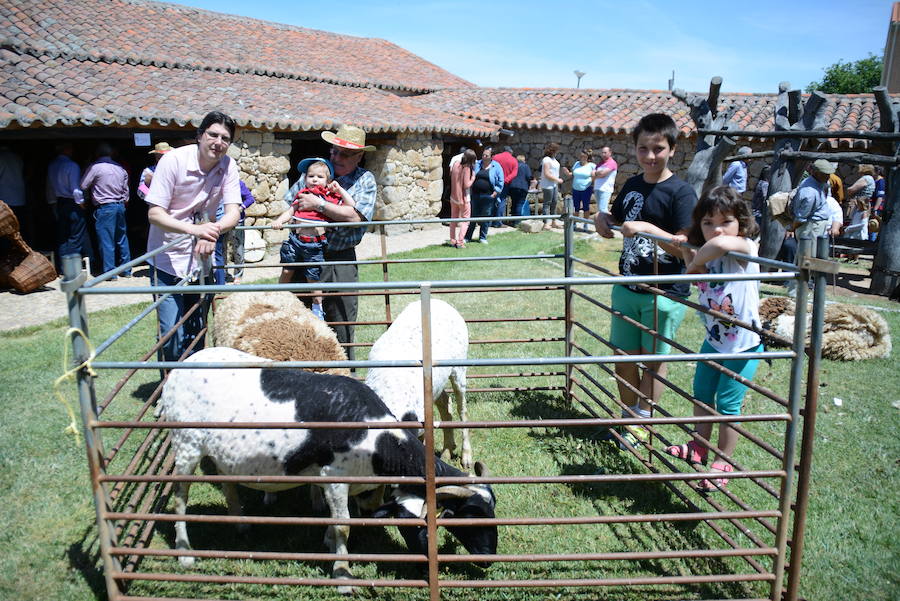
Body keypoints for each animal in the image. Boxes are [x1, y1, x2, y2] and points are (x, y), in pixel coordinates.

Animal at [162, 346, 500, 592]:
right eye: (467, 516)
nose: (488, 558)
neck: (377, 439)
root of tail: (180, 369)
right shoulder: (334, 477)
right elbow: (343, 525)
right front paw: (343, 575)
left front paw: (329, 543)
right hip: (186, 444)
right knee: (180, 497)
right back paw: (185, 553)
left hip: (218, 452)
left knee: (227, 481)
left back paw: (241, 523)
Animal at [362, 300, 472, 468]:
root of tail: (439, 301)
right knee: (445, 401)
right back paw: (447, 451)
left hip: (459, 369)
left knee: (462, 409)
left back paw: (466, 458)